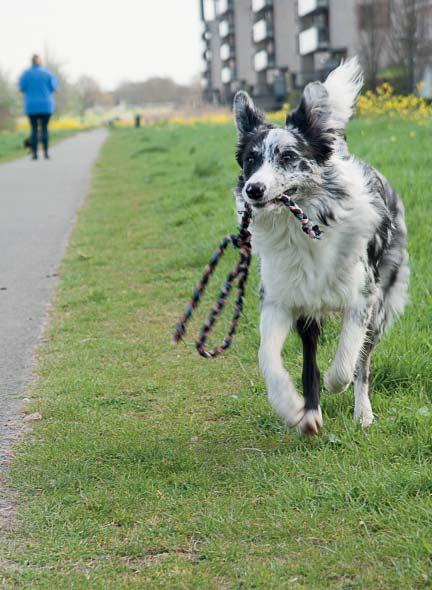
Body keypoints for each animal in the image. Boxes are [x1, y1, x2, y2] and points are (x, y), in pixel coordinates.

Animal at [233, 57, 408, 438]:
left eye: (288, 156)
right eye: (251, 160)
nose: (253, 189)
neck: (302, 231)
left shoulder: (363, 298)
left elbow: (347, 360)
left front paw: (336, 384)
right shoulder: (282, 299)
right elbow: (268, 358)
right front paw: (290, 406)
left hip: (384, 300)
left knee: (364, 362)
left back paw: (363, 412)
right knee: (310, 359)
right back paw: (310, 413)